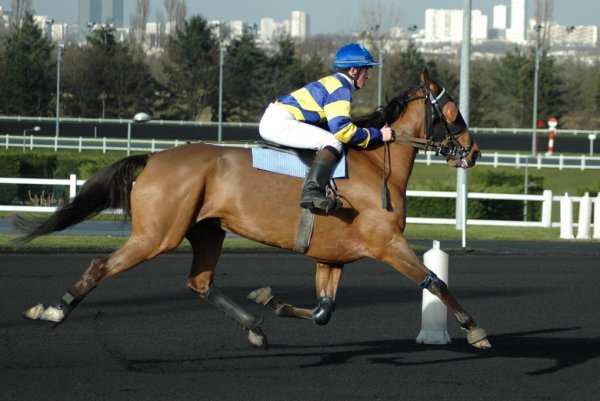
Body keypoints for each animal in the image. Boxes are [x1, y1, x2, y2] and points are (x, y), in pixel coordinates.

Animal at [14, 69, 490, 350]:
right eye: (452, 109)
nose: (474, 152)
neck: (376, 166)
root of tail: (153, 157)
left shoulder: (332, 256)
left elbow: (323, 311)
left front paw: (272, 301)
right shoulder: (387, 243)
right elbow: (434, 281)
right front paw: (474, 328)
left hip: (207, 230)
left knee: (200, 283)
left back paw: (255, 324)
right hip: (157, 235)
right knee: (102, 264)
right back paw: (54, 309)